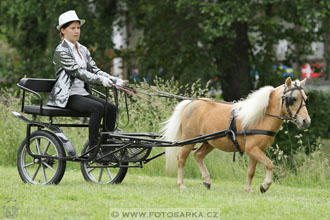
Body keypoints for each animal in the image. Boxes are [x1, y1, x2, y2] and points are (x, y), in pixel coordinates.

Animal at [164, 78, 310, 192]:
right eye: (293, 99)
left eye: (306, 99)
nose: (306, 121)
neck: (261, 117)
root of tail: (190, 103)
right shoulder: (253, 149)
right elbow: (269, 164)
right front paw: (265, 185)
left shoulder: (255, 150)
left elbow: (251, 171)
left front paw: (249, 189)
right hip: (190, 139)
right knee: (181, 158)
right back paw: (181, 185)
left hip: (209, 141)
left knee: (198, 155)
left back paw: (207, 181)